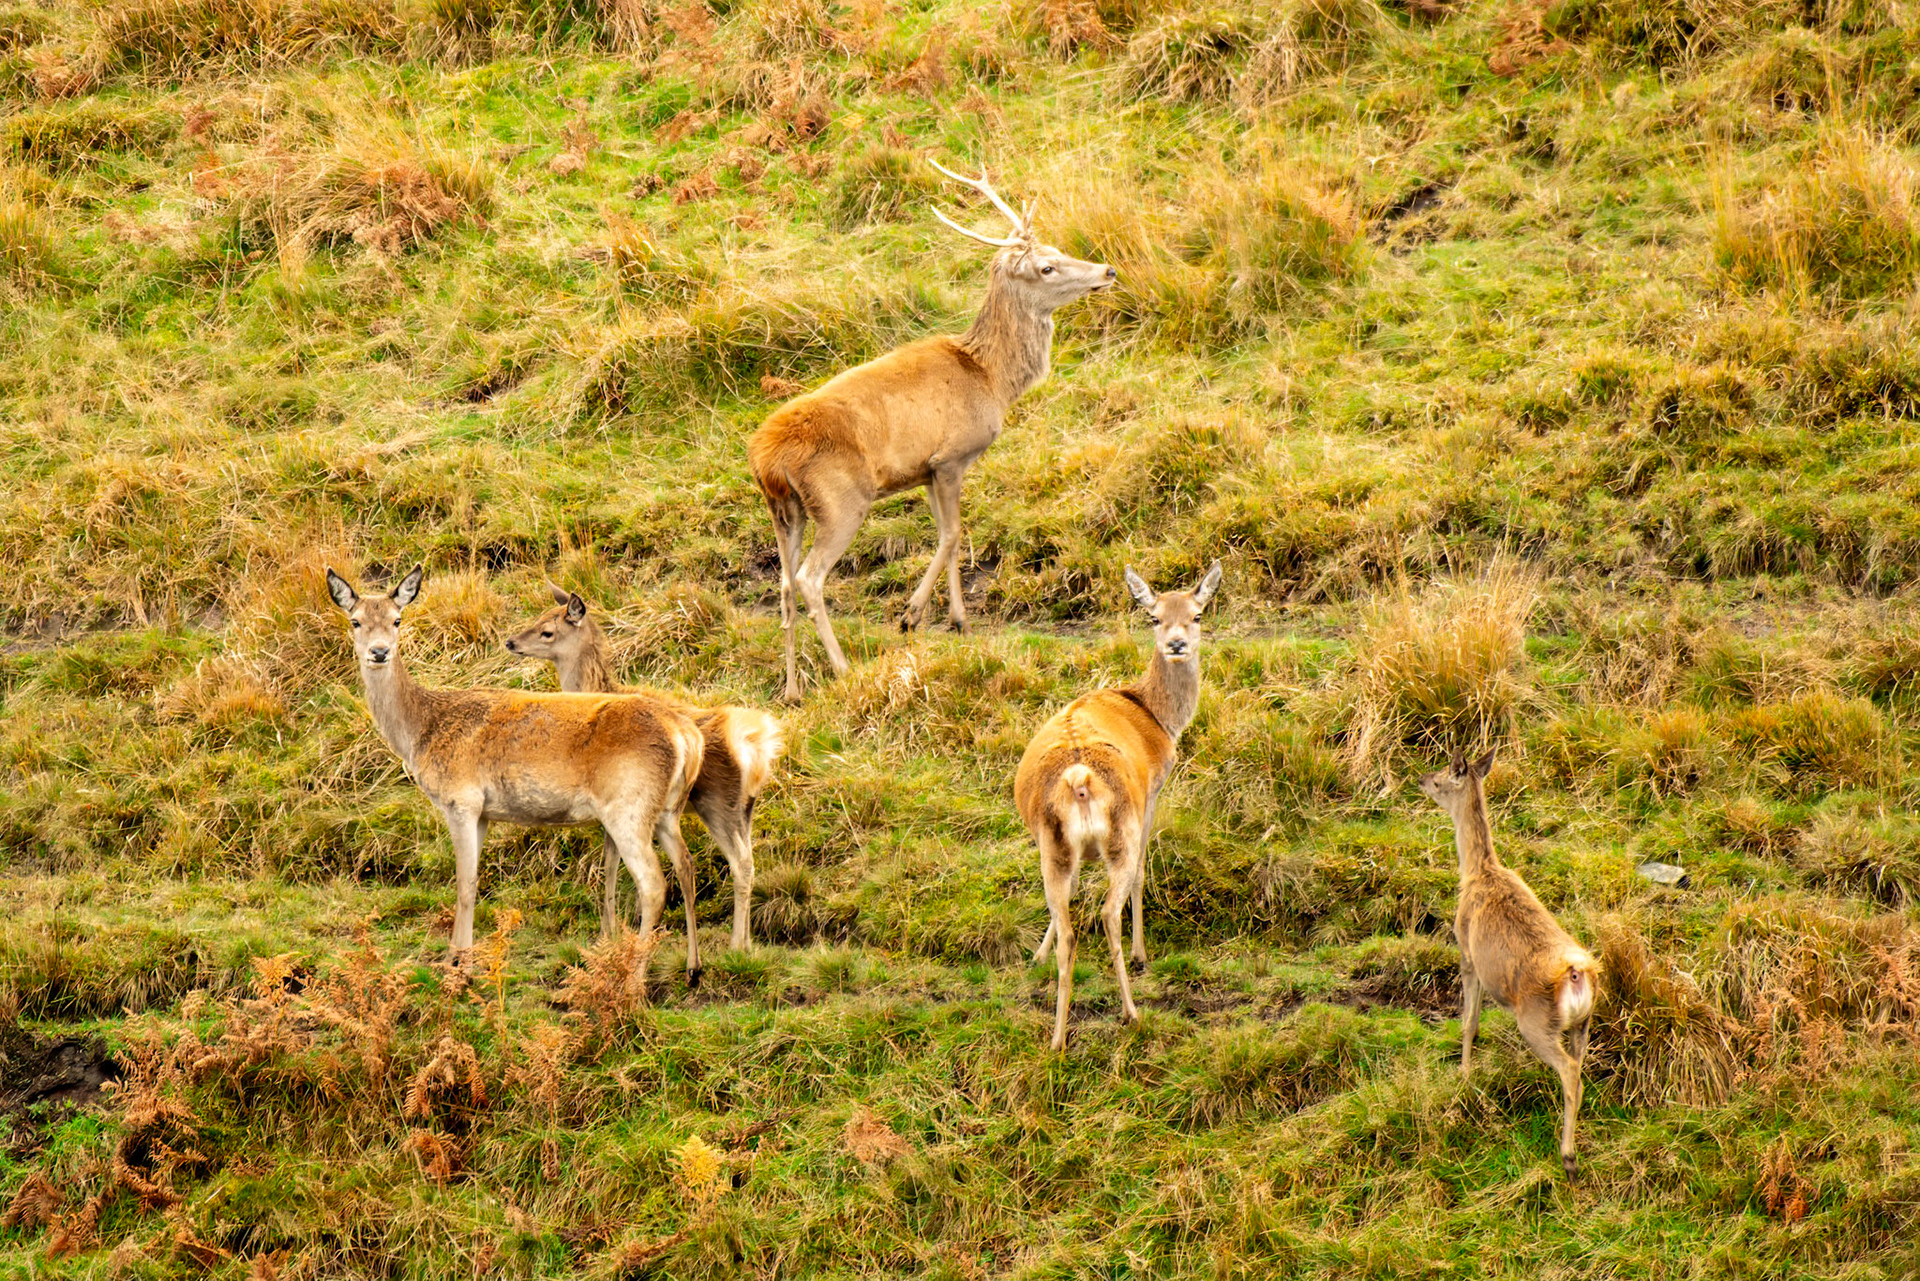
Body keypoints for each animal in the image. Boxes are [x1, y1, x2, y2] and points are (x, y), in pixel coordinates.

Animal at [325, 566, 709, 984]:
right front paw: (458, 958)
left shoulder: (461, 799)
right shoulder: (483, 812)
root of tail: (686, 736)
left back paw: (635, 978)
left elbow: (464, 884)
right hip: (667, 810)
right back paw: (693, 966)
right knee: (686, 866)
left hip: (628, 806)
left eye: (397, 619)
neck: (422, 731)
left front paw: (458, 968)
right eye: (355, 620)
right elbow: (473, 882)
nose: (379, 651)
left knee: (653, 883)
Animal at [504, 585, 786, 951]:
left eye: (547, 631)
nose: (511, 642)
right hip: (745, 807)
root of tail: (756, 744)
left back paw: (736, 944)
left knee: (741, 864)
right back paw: (747, 943)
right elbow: (614, 862)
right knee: (749, 861)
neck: (596, 690)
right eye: (538, 617)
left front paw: (609, 932)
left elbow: (613, 865)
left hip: (717, 803)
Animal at [748, 159, 1118, 703]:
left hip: (783, 509)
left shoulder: (922, 471)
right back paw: (843, 669)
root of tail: (766, 457)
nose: (1107, 270)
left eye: (1055, 250)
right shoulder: (950, 457)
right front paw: (914, 615)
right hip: (840, 501)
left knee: (784, 584)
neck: (989, 378)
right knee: (809, 579)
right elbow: (951, 534)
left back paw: (794, 690)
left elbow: (950, 535)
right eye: (1046, 267)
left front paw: (957, 619)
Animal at [1014, 561, 1221, 1052]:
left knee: (1070, 927)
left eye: (1198, 614)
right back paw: (1131, 1012)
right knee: (1109, 910)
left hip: (1052, 844)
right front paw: (1143, 952)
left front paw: (1036, 954)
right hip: (1121, 830)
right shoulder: (1154, 791)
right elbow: (1145, 870)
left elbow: (1065, 904)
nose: (1177, 643)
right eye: (1154, 617)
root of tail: (1080, 780)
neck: (1158, 718)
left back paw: (1057, 1038)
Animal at [1417, 748, 1601, 1178]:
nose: (1419, 779)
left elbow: (1469, 1022)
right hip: (1583, 1022)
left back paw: (1568, 1157)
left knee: (1570, 1073)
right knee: (1580, 1066)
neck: (1478, 871)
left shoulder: (1466, 953)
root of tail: (1577, 975)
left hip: (1535, 1022)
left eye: (1440, 779)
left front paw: (1464, 1075)